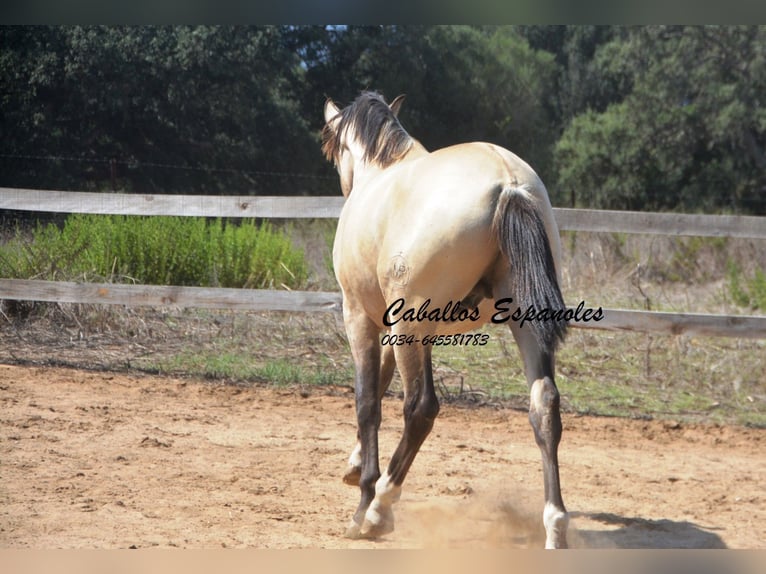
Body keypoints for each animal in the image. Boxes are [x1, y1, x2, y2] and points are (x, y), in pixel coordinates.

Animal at [322, 90, 568, 548]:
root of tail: (509, 184)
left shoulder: (361, 317)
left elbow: (368, 400)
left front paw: (363, 492)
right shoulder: (399, 329)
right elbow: (380, 383)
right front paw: (354, 464)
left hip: (410, 324)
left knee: (420, 408)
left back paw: (377, 509)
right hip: (523, 323)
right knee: (544, 406)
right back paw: (556, 527)